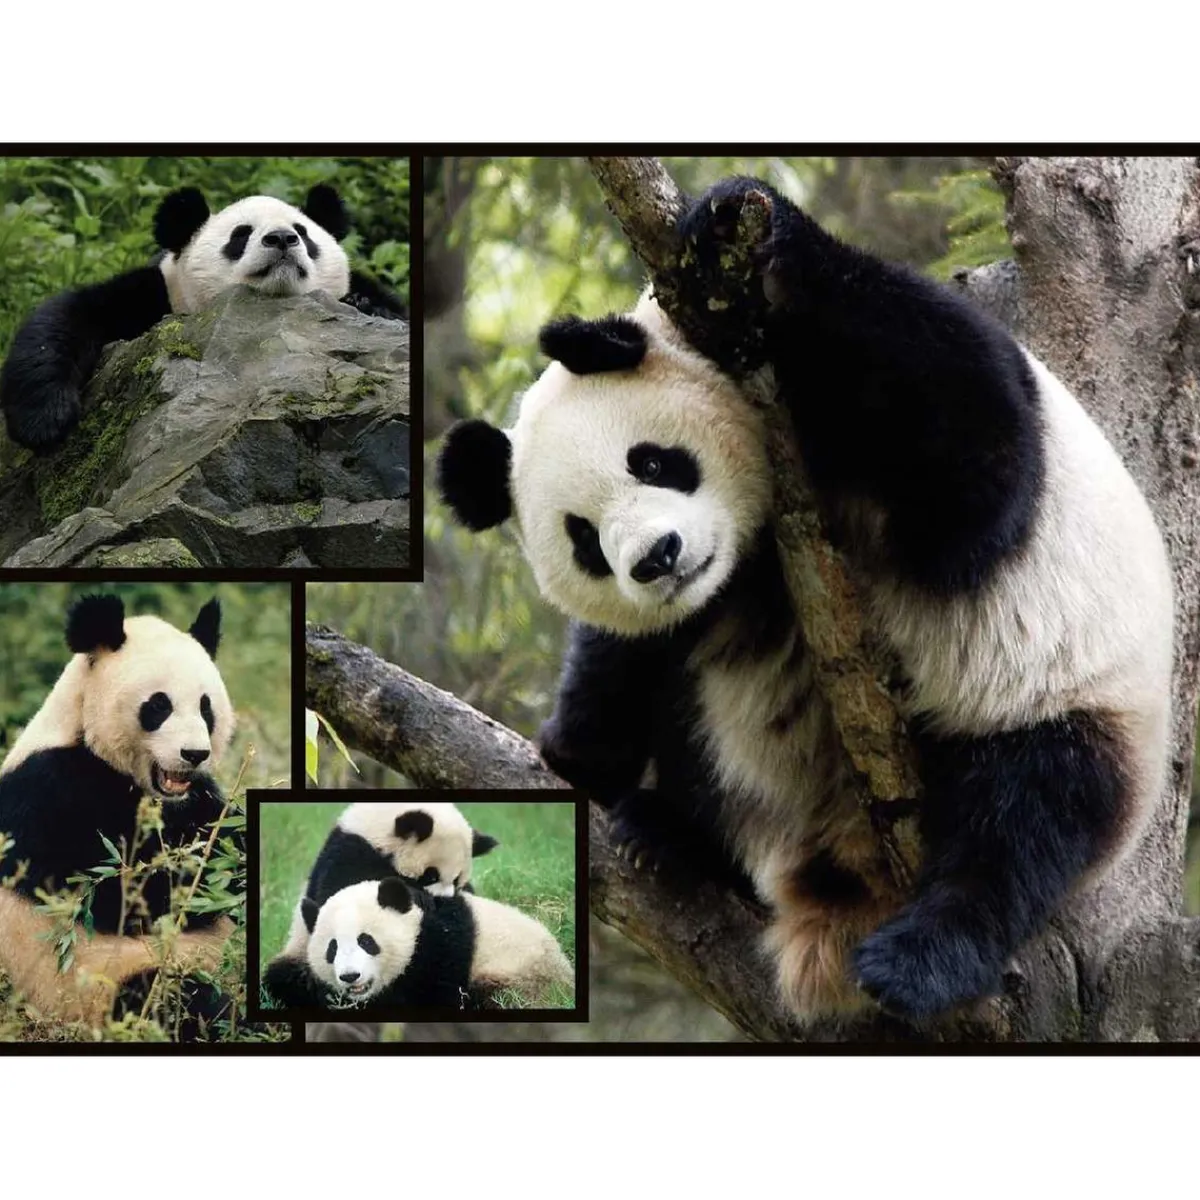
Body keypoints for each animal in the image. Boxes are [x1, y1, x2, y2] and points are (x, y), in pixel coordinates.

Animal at [0, 183, 407, 454]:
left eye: (303, 234)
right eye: (240, 235)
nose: (281, 238)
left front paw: (366, 305)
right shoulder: (156, 294)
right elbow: (68, 316)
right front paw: (45, 421)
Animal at [0, 593, 241, 1037]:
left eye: (206, 707)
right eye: (159, 705)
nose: (195, 753)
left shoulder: (197, 798)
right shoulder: (47, 793)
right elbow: (111, 895)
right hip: (100, 986)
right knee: (177, 998)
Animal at [265, 877, 573, 1012]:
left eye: (367, 941)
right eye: (333, 948)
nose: (350, 976)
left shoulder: (441, 948)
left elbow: (430, 997)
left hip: (523, 979)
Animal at [436, 176, 1176, 1023]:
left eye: (652, 462)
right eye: (584, 540)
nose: (658, 559)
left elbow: (975, 465)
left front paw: (741, 221)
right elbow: (628, 655)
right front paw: (576, 750)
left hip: (1072, 700)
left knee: (1028, 818)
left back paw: (921, 959)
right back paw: (672, 837)